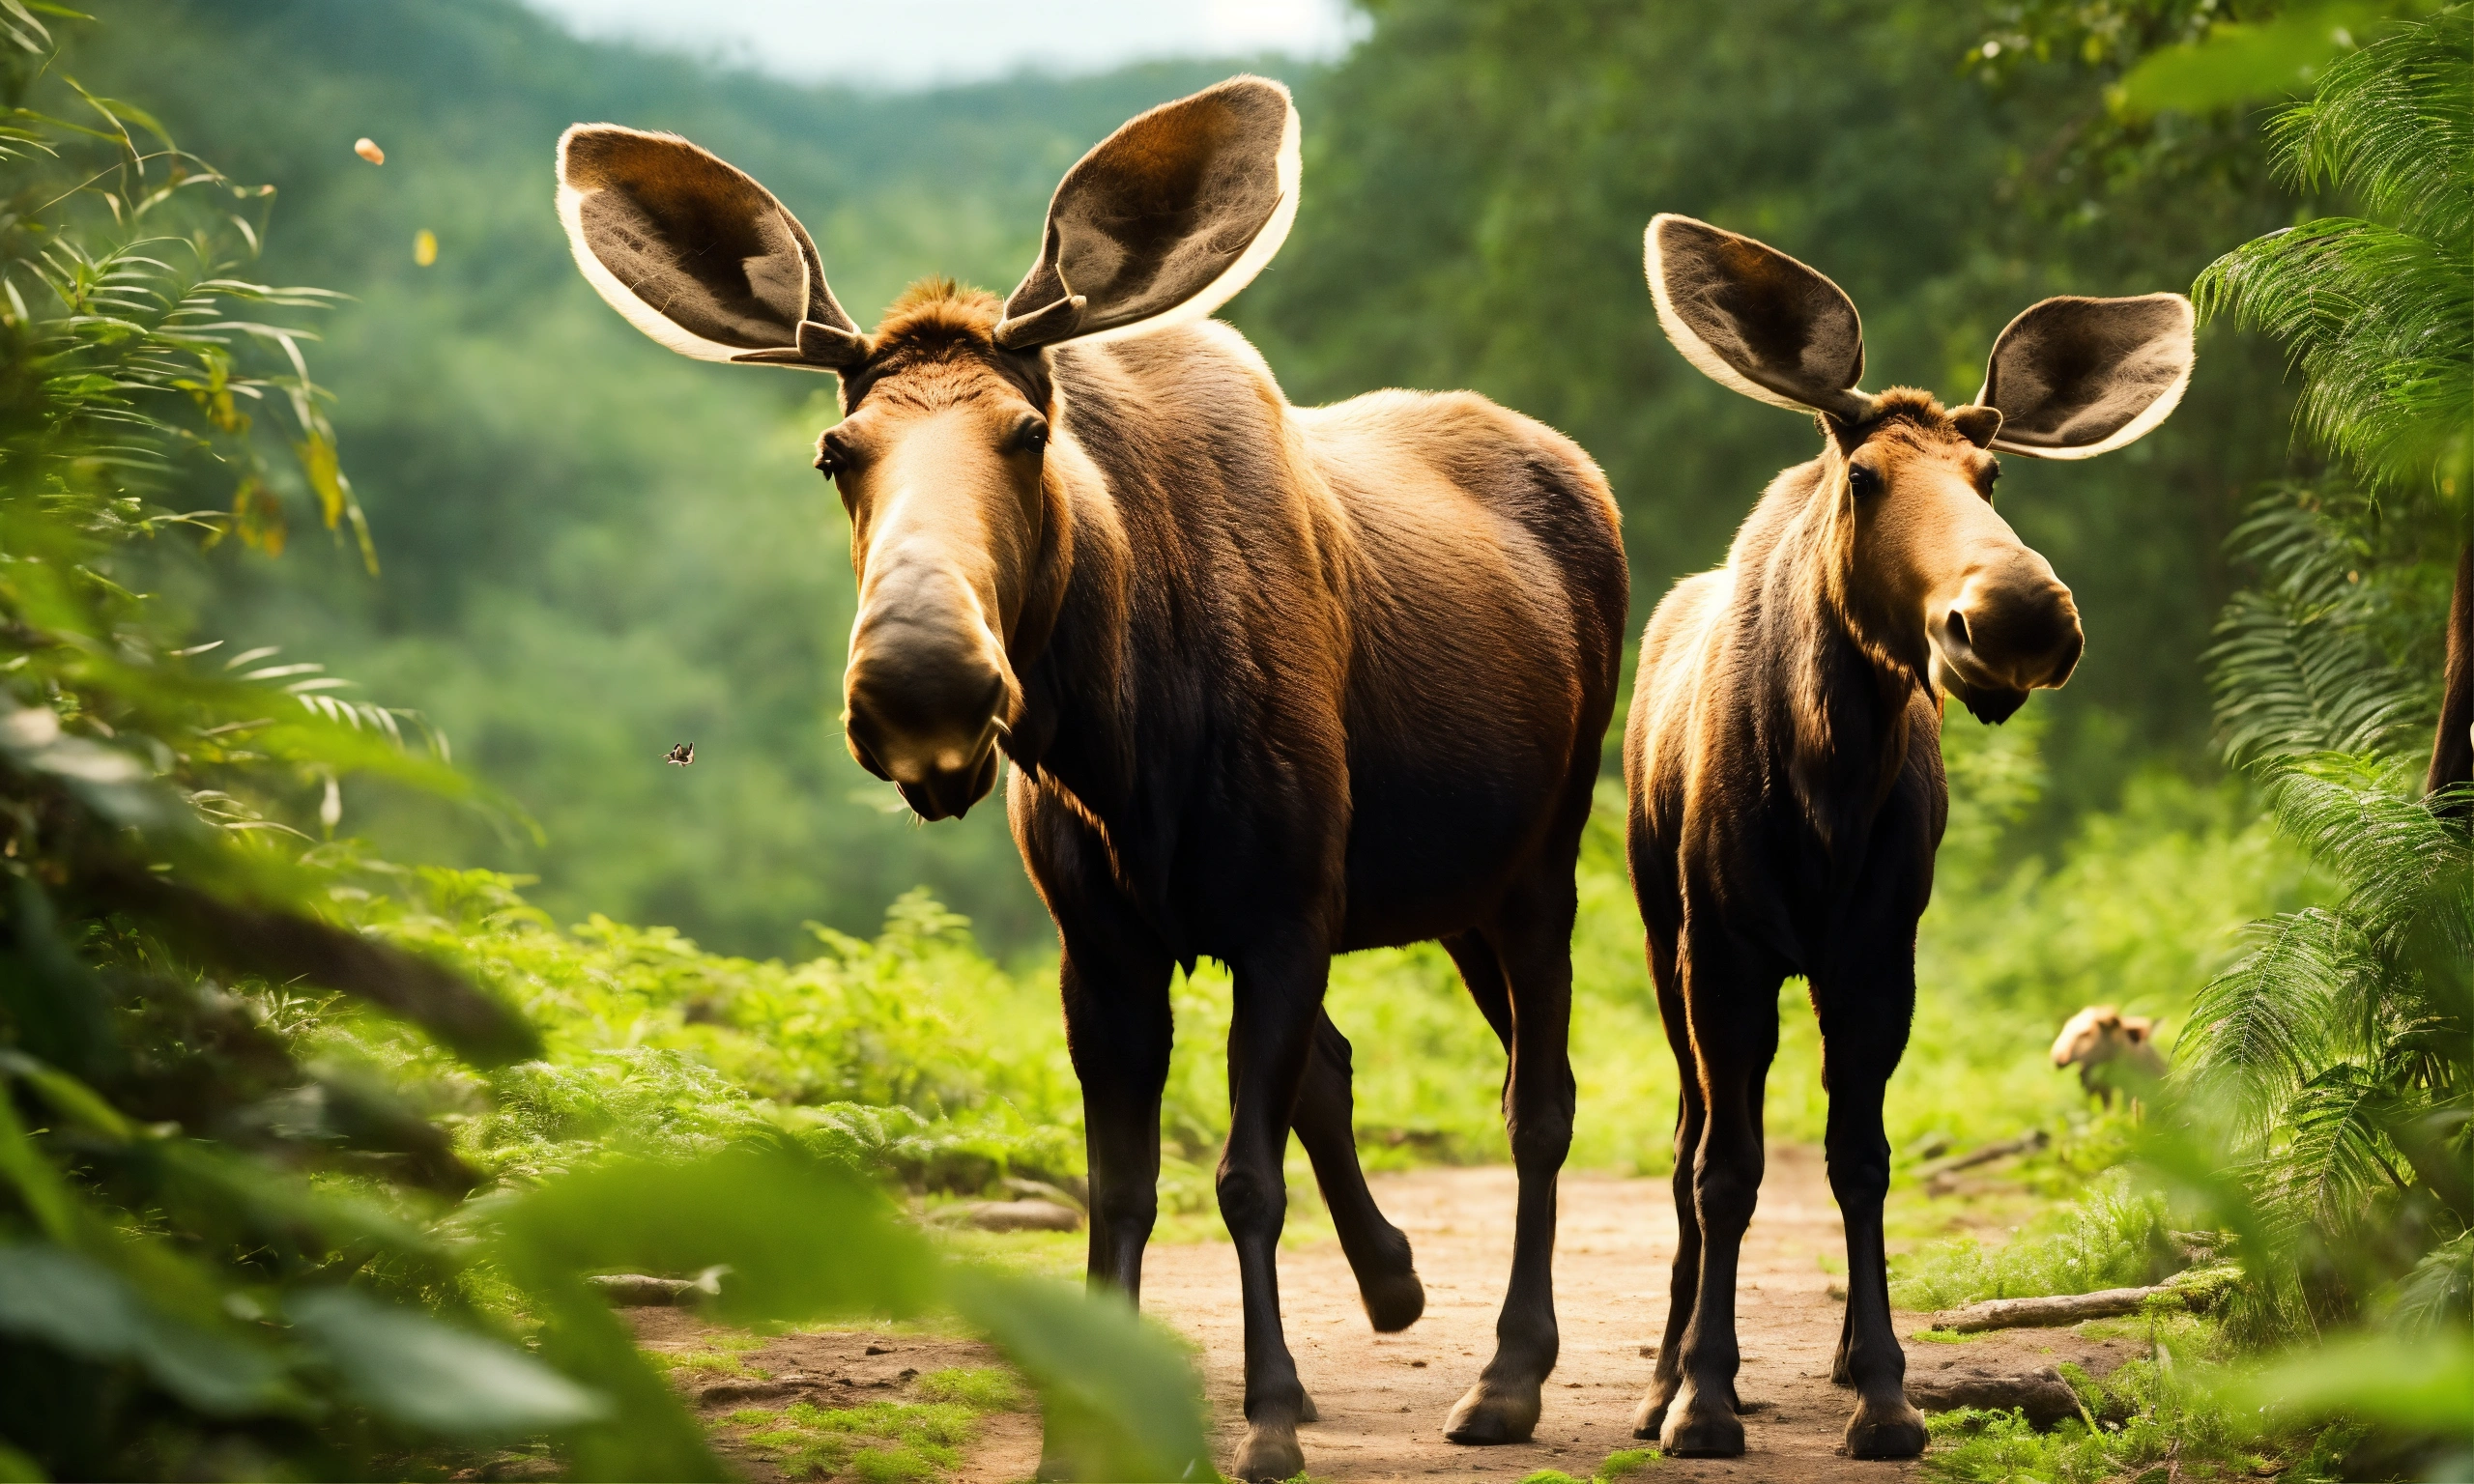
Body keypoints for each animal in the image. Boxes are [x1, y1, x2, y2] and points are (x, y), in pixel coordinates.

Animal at [553, 78, 1627, 1481]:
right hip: (1440, 891)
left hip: (1540, 862)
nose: (924, 679)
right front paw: (1090, 1434)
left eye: (1028, 432)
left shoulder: (1283, 914)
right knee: (1364, 1069)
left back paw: (1516, 1377)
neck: (1125, 734)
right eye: (837, 451)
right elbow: (1124, 1188)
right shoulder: (1106, 944)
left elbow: (1242, 1176)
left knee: (1539, 1102)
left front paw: (1267, 1417)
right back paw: (1396, 1288)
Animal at [1623, 214, 2194, 1460]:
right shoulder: (1721, 951)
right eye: (1864, 475)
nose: (2018, 613)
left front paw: (1884, 1391)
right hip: (1657, 936)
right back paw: (1663, 1372)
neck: (1822, 783)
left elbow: (1863, 1159)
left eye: (1991, 474)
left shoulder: (1880, 953)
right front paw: (1699, 1396)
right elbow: (1722, 1166)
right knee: (1687, 1138)